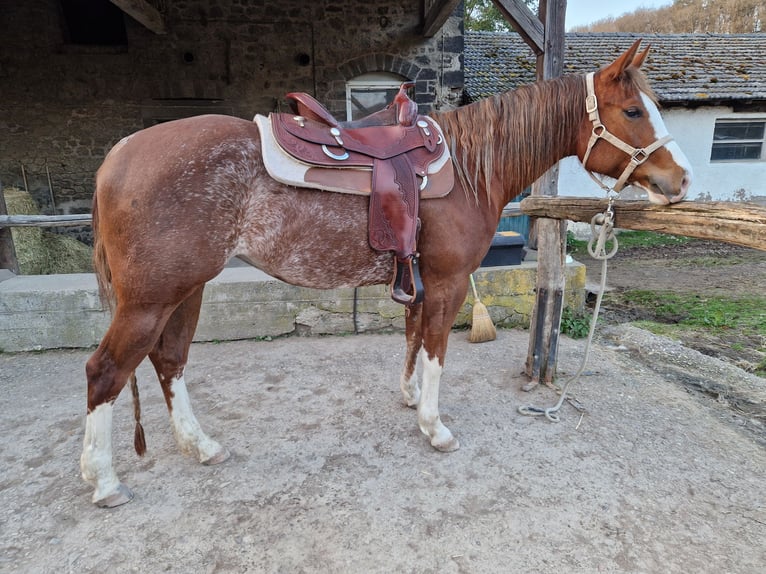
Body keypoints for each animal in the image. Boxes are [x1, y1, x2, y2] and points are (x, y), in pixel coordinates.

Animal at [81, 40, 692, 507]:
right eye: (633, 112)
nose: (681, 181)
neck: (469, 167)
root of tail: (118, 155)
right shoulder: (447, 283)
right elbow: (438, 348)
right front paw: (433, 425)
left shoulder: (420, 281)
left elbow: (414, 337)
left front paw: (409, 396)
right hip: (150, 299)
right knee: (105, 372)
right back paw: (104, 481)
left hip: (185, 291)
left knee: (169, 362)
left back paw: (199, 446)